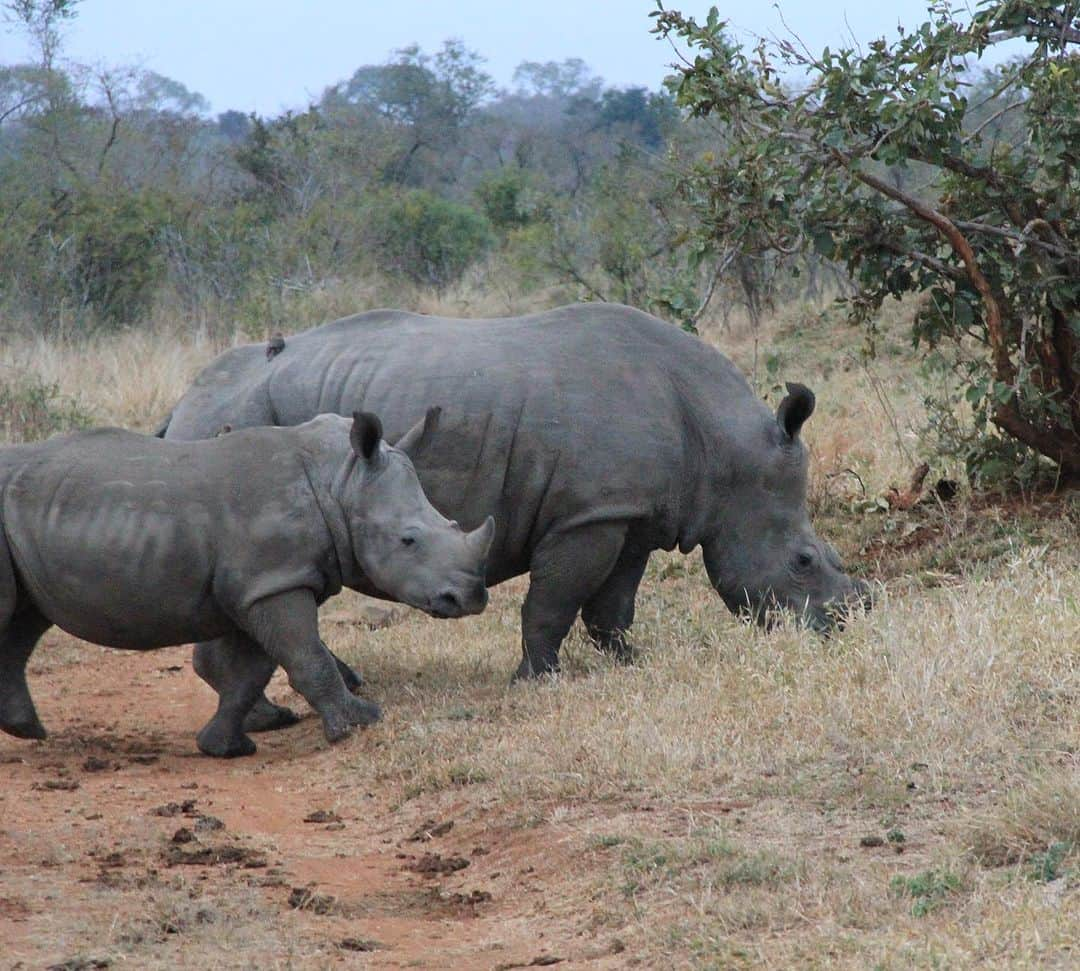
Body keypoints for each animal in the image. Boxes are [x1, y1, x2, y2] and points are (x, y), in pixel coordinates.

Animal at [0, 410, 494, 760]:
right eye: (409, 540)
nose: (470, 597)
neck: (339, 482)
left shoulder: (260, 585)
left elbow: (253, 671)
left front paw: (224, 747)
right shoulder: (274, 582)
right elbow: (305, 657)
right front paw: (358, 724)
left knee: (24, 621)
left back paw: (27, 730)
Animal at [159, 304, 868, 682]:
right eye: (804, 561)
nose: (843, 627)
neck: (723, 453)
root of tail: (184, 398)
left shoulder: (628, 512)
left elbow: (612, 605)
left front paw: (628, 664)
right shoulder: (586, 514)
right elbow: (553, 599)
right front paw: (537, 680)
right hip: (240, 419)